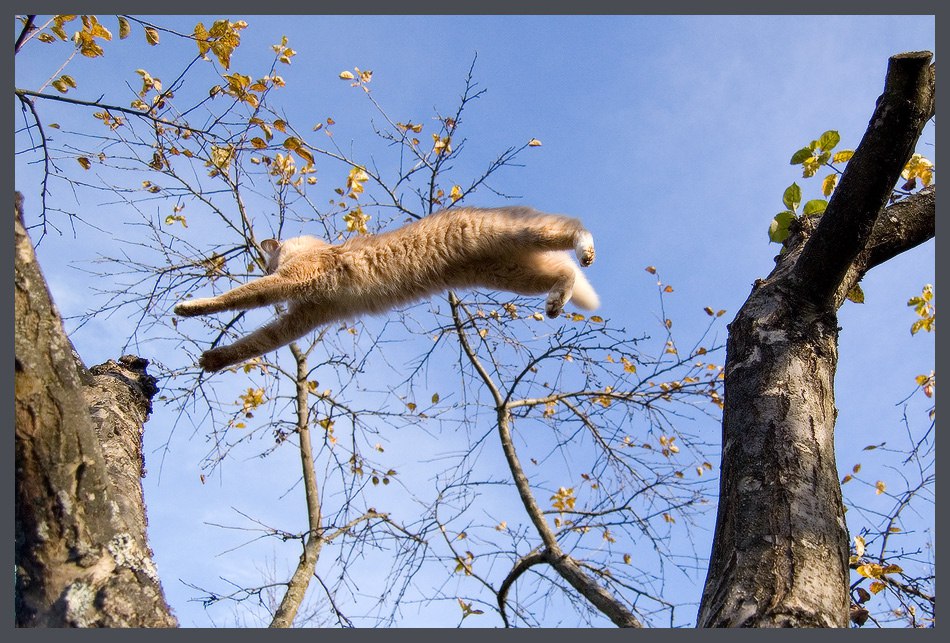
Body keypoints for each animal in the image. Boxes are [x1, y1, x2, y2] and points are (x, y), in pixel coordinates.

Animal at [175, 206, 600, 372]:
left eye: (266, 263)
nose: (266, 264)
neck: (317, 248)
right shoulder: (302, 319)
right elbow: (254, 344)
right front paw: (215, 360)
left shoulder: (291, 282)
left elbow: (235, 297)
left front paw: (189, 306)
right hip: (512, 274)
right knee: (564, 273)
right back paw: (556, 302)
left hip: (521, 234)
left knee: (572, 227)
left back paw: (586, 248)